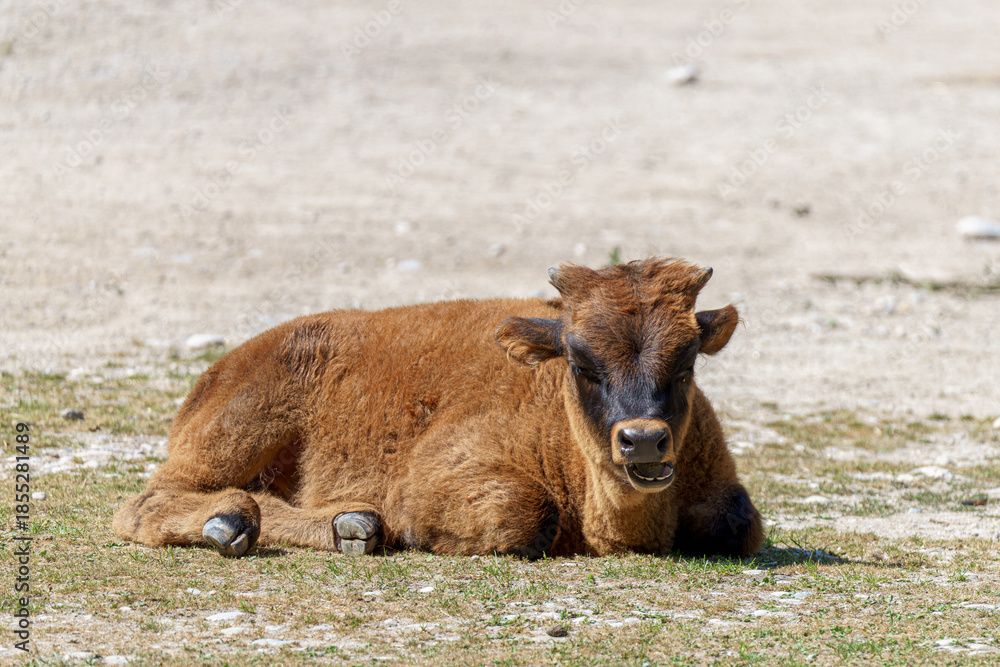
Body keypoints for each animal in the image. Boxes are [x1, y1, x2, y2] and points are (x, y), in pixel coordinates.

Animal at [113, 258, 764, 559]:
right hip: (238, 431)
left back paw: (350, 526)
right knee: (144, 501)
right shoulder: (443, 475)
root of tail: (220, 370)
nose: (643, 441)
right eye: (580, 362)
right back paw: (231, 522)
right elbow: (524, 514)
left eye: (687, 360)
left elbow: (736, 522)